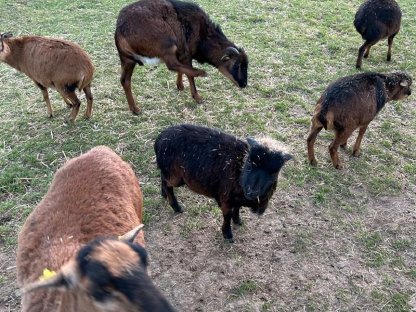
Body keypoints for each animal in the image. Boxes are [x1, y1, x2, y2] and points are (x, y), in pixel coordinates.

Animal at [114, 0, 247, 114]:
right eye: (237, 65)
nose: (244, 84)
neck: (203, 35)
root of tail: (120, 30)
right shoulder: (186, 53)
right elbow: (188, 75)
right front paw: (197, 97)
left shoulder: (182, 52)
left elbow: (182, 69)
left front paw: (180, 86)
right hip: (166, 41)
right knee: (171, 65)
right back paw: (200, 72)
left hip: (127, 59)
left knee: (125, 80)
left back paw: (134, 109)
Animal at [154, 123, 292, 241]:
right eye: (249, 165)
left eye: (274, 172)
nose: (252, 192)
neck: (239, 170)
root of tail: (160, 138)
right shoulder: (226, 199)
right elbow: (227, 216)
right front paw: (228, 235)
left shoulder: (236, 199)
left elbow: (237, 209)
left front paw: (238, 221)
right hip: (177, 177)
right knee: (167, 183)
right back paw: (176, 207)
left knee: (162, 176)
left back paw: (163, 194)